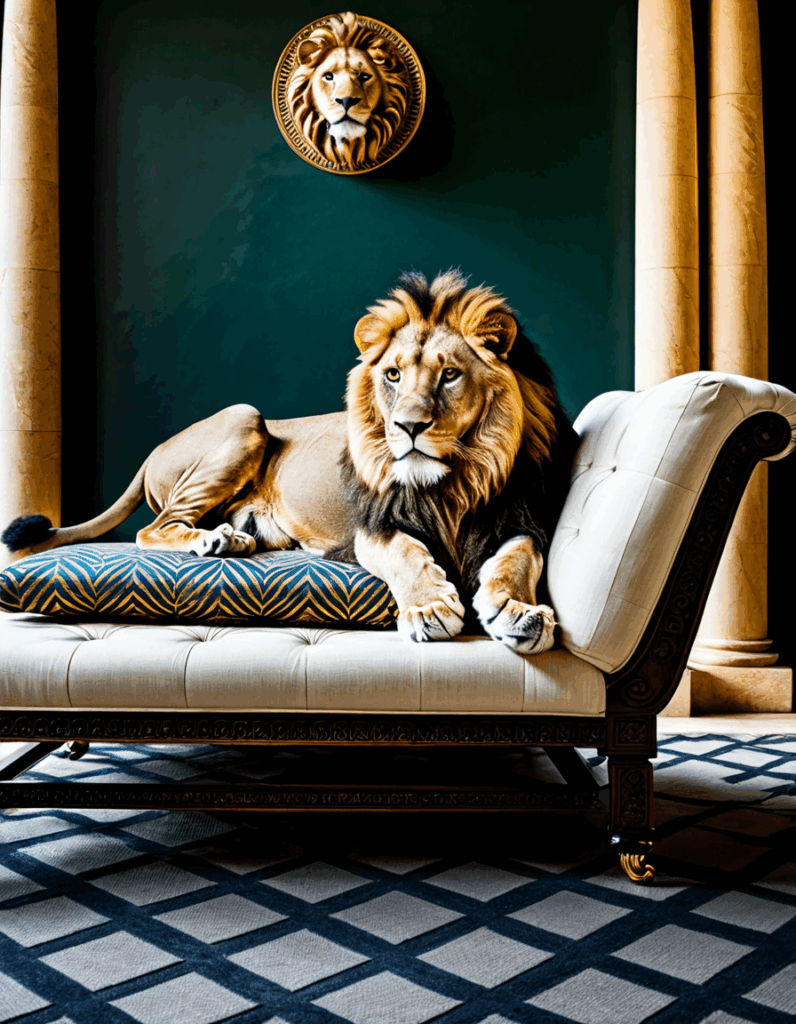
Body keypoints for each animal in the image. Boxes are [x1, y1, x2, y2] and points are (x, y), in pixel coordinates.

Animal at [3, 270, 577, 654]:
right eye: (392, 375)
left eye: (450, 375)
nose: (408, 427)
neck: (455, 481)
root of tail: (151, 453)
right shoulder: (371, 530)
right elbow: (408, 556)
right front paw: (429, 608)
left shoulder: (520, 519)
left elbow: (518, 558)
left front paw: (518, 611)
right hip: (244, 417)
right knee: (155, 528)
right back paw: (211, 542)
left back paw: (231, 539)